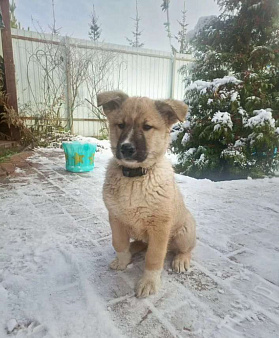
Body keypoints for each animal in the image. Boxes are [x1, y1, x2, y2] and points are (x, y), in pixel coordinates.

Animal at [98, 91, 197, 298]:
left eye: (147, 127)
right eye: (121, 125)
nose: (126, 148)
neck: (135, 178)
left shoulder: (159, 227)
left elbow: (154, 257)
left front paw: (149, 282)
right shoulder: (116, 218)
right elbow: (118, 243)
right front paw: (123, 260)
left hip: (184, 232)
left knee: (187, 248)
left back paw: (181, 260)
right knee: (140, 243)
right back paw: (133, 248)